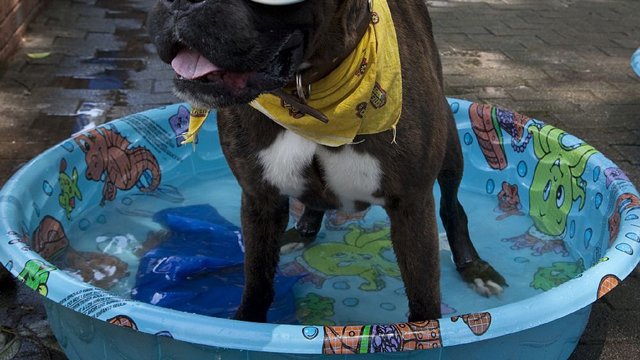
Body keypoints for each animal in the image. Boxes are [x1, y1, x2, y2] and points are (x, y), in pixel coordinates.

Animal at [148, 0, 508, 322]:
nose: (182, 2)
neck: (306, 95)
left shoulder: (411, 206)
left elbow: (423, 298)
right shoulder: (259, 199)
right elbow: (257, 280)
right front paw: (247, 320)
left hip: (450, 149)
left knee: (452, 207)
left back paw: (474, 266)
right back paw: (301, 231)